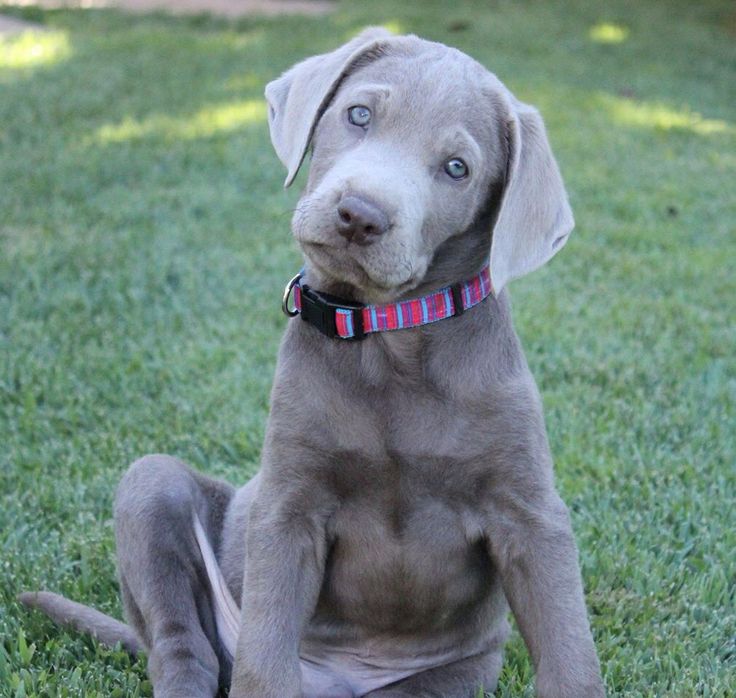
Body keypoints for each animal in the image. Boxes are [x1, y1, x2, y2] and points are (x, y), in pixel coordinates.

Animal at [24, 28, 608, 696]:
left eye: (457, 168)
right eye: (359, 115)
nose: (360, 214)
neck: (389, 336)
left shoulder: (530, 515)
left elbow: (568, 648)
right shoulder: (288, 506)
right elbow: (265, 653)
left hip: (452, 676)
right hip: (151, 487)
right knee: (182, 647)